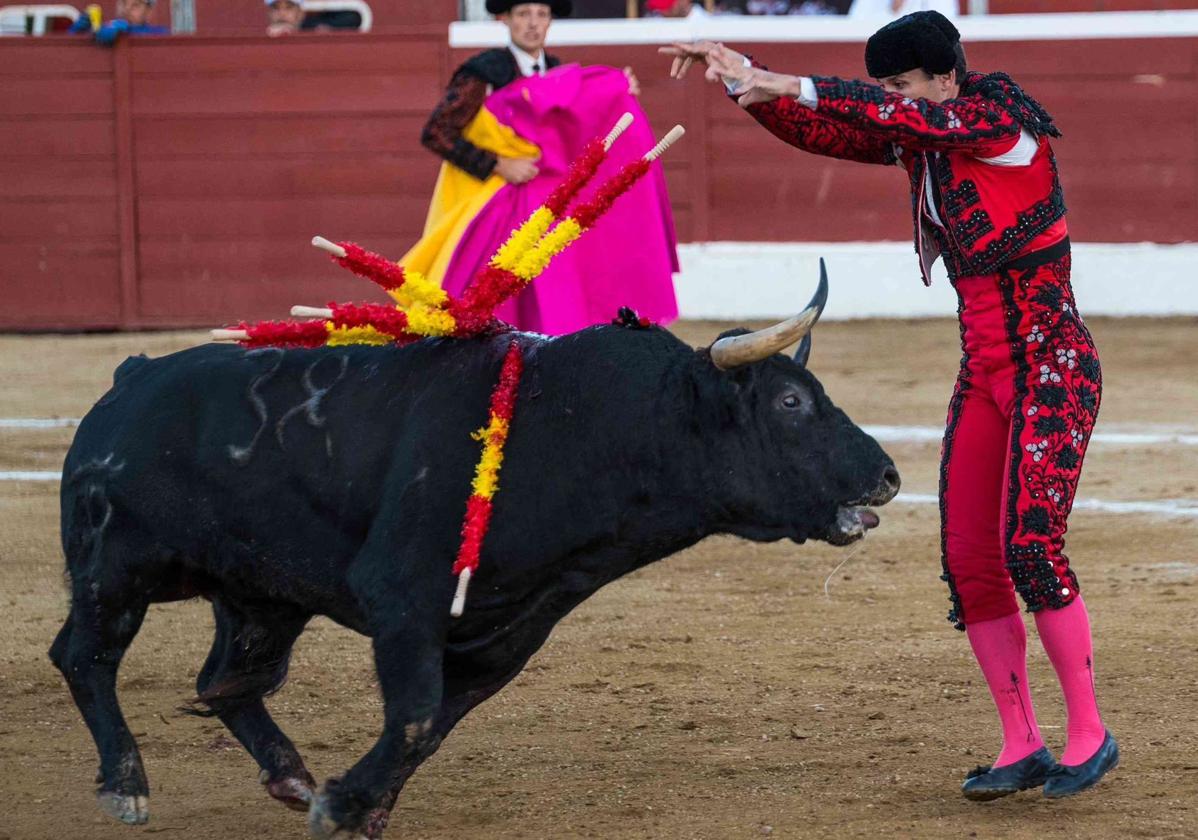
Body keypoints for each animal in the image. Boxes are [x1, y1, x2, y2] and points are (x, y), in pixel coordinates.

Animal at [56, 301, 900, 834]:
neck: (587, 424)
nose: (888, 476)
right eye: (791, 402)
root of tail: (130, 379)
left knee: (227, 682)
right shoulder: (403, 597)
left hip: (263, 596)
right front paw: (345, 807)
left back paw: (291, 778)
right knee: (85, 656)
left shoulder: (511, 626)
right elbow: (416, 713)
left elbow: (428, 727)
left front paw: (358, 805)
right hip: (115, 570)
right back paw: (127, 787)